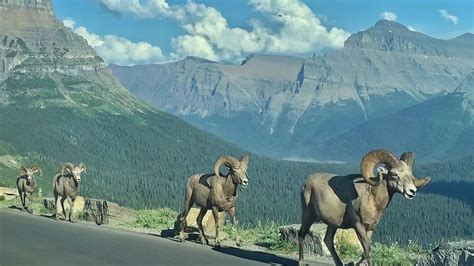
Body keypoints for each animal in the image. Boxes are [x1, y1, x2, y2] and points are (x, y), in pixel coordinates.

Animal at [300, 150, 430, 266]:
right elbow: (368, 250)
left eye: (410, 174)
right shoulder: (359, 225)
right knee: (301, 234)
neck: (371, 197)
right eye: (394, 174)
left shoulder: (370, 228)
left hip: (332, 224)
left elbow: (364, 252)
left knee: (328, 241)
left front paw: (352, 263)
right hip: (308, 216)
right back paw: (301, 262)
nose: (412, 191)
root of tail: (305, 183)